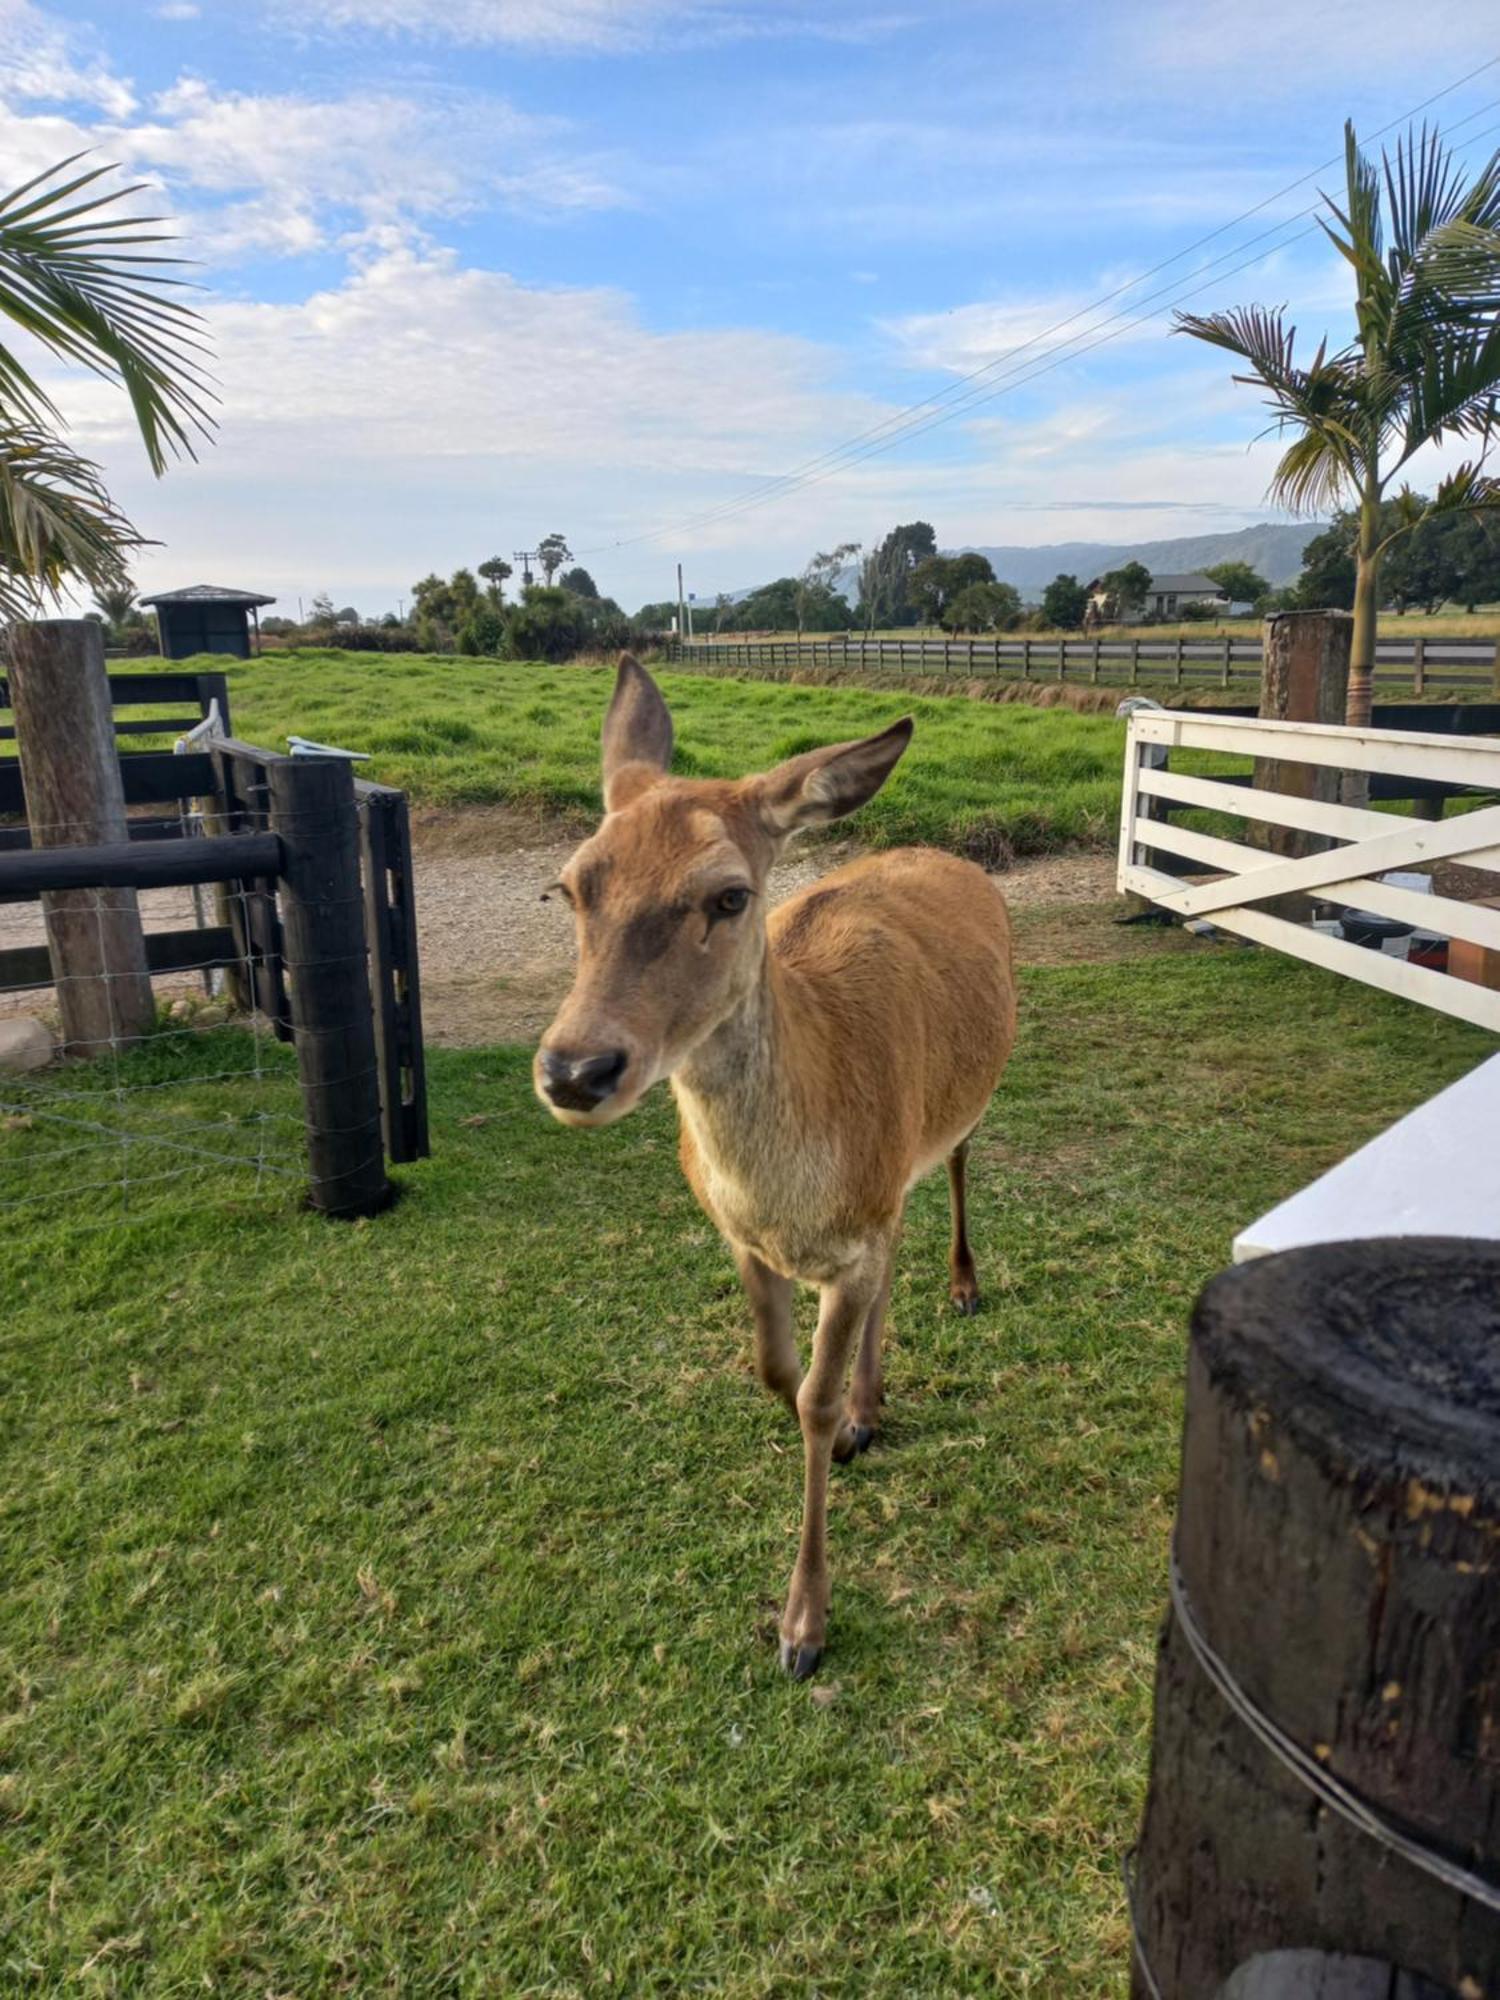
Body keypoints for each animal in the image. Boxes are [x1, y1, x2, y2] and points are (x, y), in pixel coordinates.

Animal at [536, 660, 1016, 1672]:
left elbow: (814, 1402)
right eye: (570, 886)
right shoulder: (748, 1238)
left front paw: (804, 1626)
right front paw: (854, 1417)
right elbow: (773, 1371)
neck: (787, 1192)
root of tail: (947, 854)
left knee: (957, 1167)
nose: (575, 1070)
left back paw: (963, 1287)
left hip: (969, 1097)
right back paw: (879, 1400)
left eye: (728, 896)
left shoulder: (855, 1230)